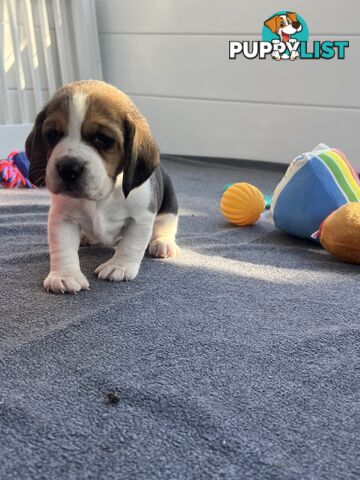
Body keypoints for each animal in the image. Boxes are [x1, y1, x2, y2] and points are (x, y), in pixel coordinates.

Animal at [24, 79, 179, 292]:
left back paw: (163, 243)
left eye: (103, 139)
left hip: (170, 204)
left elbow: (131, 244)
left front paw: (119, 266)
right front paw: (65, 275)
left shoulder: (141, 218)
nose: (67, 168)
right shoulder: (62, 218)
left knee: (166, 225)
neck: (101, 196)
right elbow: (62, 247)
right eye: (53, 134)